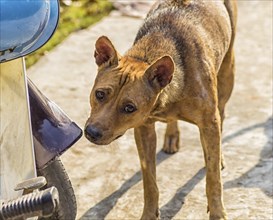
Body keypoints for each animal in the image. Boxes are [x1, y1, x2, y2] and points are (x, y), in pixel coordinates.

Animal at [85, 0, 236, 219]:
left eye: (129, 107)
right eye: (99, 94)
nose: (91, 132)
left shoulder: (209, 122)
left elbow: (213, 178)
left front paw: (217, 212)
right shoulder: (143, 129)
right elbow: (149, 181)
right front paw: (149, 213)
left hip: (227, 73)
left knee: (221, 116)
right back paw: (172, 136)